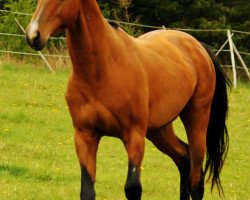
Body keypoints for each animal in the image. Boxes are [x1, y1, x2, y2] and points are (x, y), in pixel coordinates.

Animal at [26, 0, 229, 199]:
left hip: (196, 120)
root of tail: (197, 46)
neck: (101, 70)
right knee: (184, 159)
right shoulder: (85, 136)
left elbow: (132, 188)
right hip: (159, 130)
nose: (33, 35)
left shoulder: (134, 136)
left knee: (196, 180)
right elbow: (87, 191)